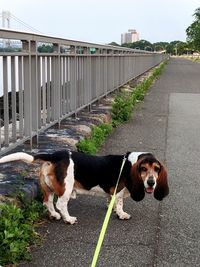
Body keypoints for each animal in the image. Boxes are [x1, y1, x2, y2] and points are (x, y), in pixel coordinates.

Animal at [0, 151, 169, 224]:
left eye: (157, 169)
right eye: (143, 169)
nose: (151, 183)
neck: (130, 163)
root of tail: (54, 155)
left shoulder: (112, 193)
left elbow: (112, 201)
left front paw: (113, 209)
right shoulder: (119, 192)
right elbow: (120, 204)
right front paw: (122, 214)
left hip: (49, 188)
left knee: (47, 202)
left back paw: (54, 215)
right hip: (66, 188)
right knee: (60, 204)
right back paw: (68, 219)